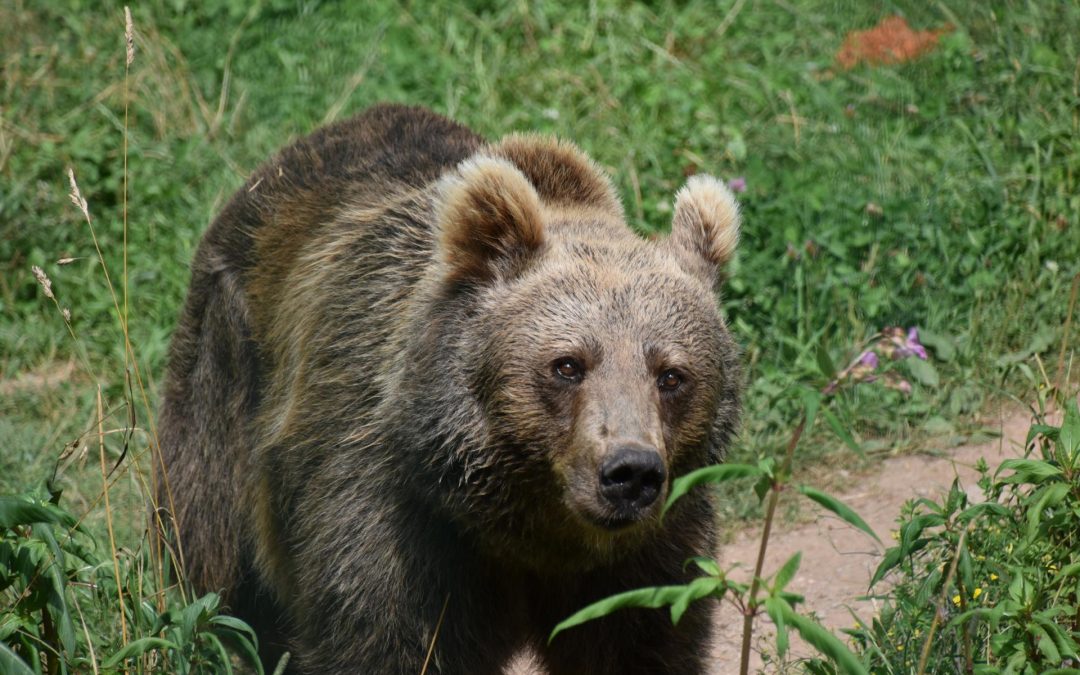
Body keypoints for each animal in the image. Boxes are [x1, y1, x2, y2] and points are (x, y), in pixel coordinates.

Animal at [156, 102, 743, 669]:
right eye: (567, 364)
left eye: (671, 374)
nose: (630, 472)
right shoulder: (398, 517)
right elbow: (385, 638)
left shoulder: (650, 547)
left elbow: (642, 642)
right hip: (225, 367)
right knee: (214, 548)